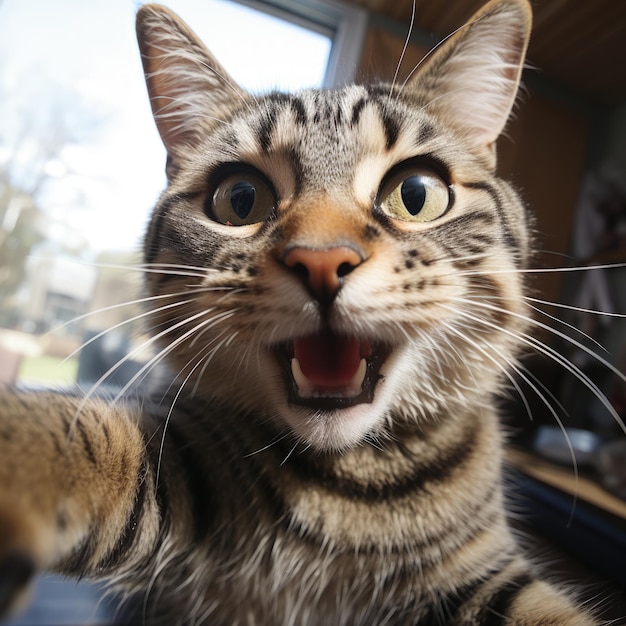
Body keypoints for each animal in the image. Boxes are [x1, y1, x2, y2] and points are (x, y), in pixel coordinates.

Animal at [0, 0, 608, 620]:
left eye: (416, 194)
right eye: (239, 198)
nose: (322, 260)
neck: (349, 486)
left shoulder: (489, 574)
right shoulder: (178, 453)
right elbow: (89, 439)